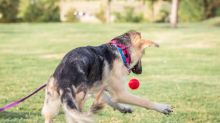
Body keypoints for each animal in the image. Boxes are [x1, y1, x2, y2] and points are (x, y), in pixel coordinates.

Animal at [41, 30, 172, 122]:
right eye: (143, 54)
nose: (140, 71)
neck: (121, 50)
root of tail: (63, 78)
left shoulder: (97, 89)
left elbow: (110, 100)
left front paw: (124, 108)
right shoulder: (120, 93)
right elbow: (144, 101)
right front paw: (162, 107)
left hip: (51, 106)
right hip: (78, 101)